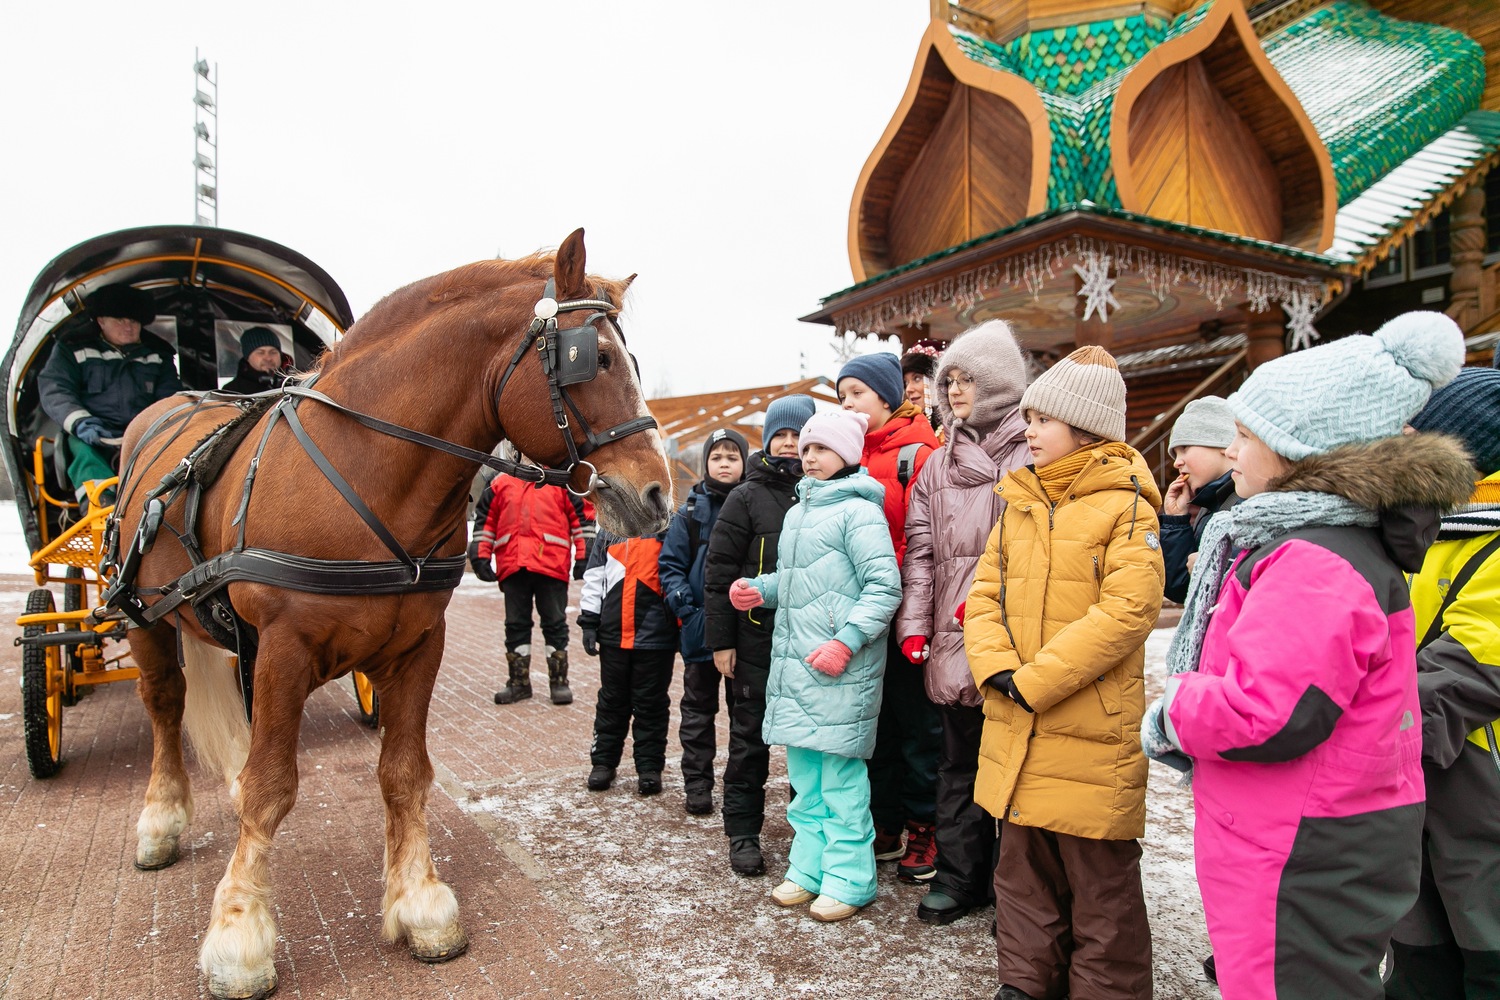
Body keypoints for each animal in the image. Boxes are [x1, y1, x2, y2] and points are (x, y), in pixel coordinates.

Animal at [108, 229, 666, 1000]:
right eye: (596, 358)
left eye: (631, 361)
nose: (659, 493)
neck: (366, 468)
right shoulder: (282, 648)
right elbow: (269, 787)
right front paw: (240, 938)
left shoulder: (418, 646)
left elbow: (404, 772)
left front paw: (422, 905)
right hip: (145, 619)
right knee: (165, 705)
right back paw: (160, 822)